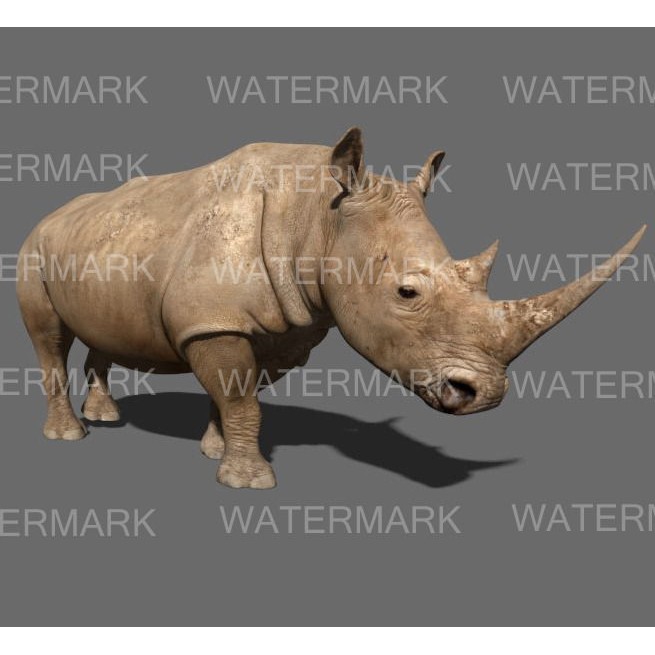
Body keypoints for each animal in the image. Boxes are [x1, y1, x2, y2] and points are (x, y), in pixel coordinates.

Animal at [17, 127, 645, 489]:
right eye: (407, 294)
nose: (483, 395)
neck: (318, 212)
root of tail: (54, 213)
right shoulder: (214, 322)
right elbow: (242, 400)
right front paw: (249, 483)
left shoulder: (280, 325)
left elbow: (235, 395)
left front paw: (215, 450)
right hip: (34, 246)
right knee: (49, 337)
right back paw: (70, 437)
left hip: (100, 243)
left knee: (99, 333)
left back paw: (104, 417)